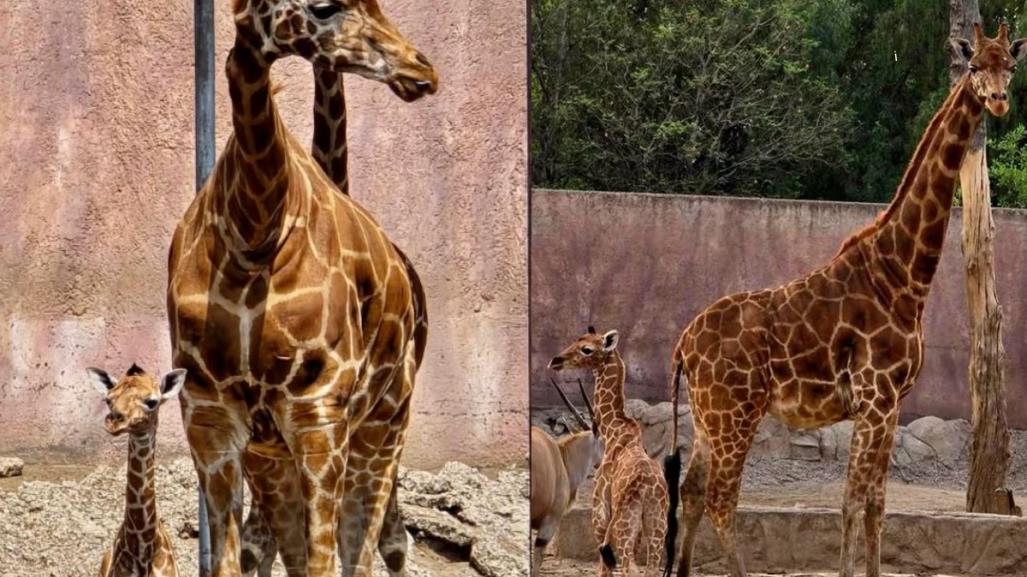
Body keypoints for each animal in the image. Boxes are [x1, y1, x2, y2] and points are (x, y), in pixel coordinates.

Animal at [167, 1, 437, 570]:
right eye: (324, 7)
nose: (421, 72)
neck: (253, 231)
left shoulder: (318, 412)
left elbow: (327, 559)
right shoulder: (210, 416)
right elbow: (237, 557)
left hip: (385, 421)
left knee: (375, 546)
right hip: (278, 451)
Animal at [661, 22, 1022, 577]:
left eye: (1011, 64)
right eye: (976, 65)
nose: (999, 101)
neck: (902, 276)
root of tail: (683, 345)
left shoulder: (891, 404)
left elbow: (876, 503)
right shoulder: (874, 398)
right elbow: (852, 500)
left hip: (707, 418)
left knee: (695, 491)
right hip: (734, 412)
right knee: (722, 498)